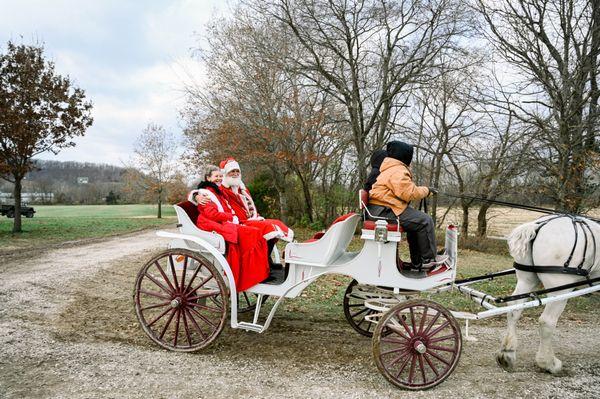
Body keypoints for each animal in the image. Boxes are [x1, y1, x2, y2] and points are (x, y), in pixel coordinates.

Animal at [496, 216, 600, 376]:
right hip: (560, 290)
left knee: (514, 310)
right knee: (547, 321)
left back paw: (507, 353)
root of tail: (539, 226)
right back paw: (548, 363)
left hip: (527, 280)